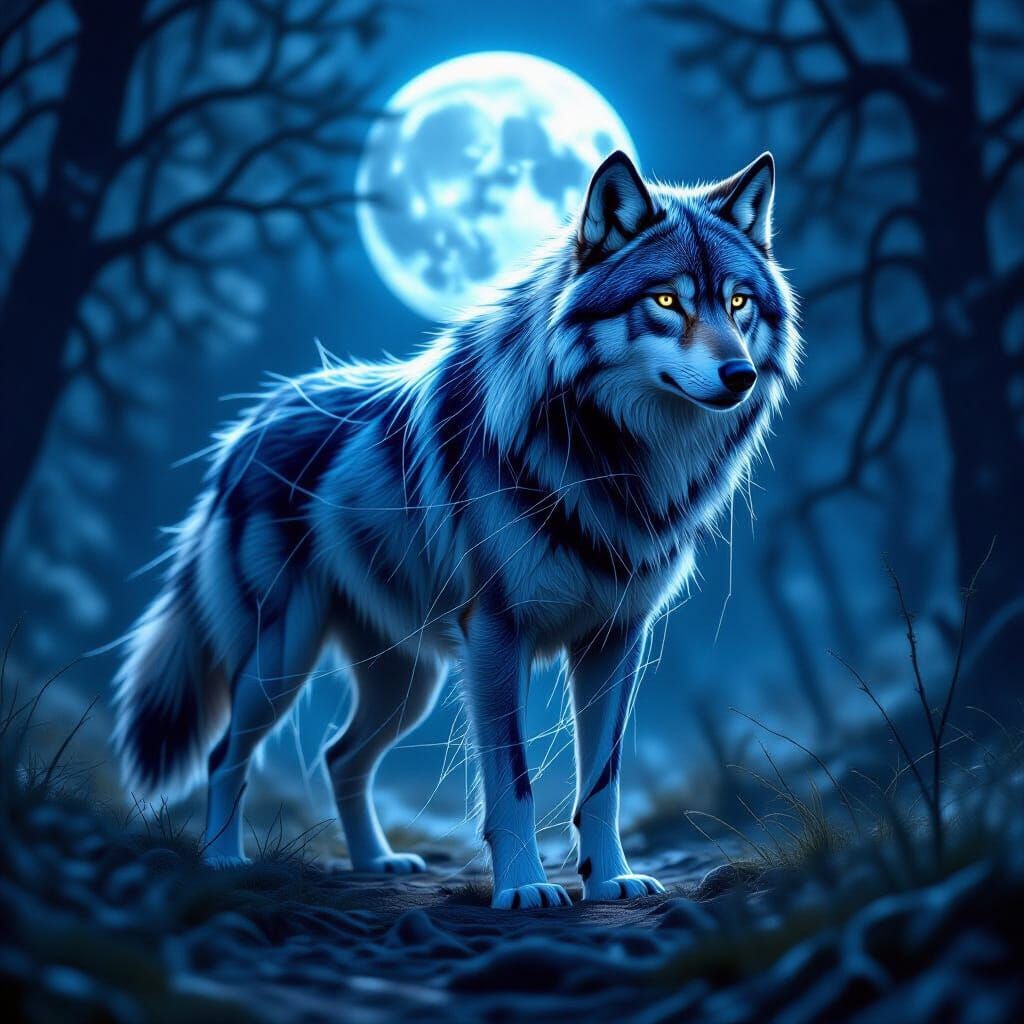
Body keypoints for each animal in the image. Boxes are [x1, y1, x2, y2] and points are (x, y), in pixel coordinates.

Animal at [113, 150, 799, 908]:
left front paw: (611, 877)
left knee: (338, 756)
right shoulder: (498, 634)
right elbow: (515, 783)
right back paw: (223, 863)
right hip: (282, 659)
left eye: (738, 302)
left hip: (408, 682)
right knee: (224, 755)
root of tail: (247, 427)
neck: (615, 462)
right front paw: (525, 888)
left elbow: (604, 782)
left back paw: (375, 863)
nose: (738, 374)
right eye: (667, 302)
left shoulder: (615, 640)